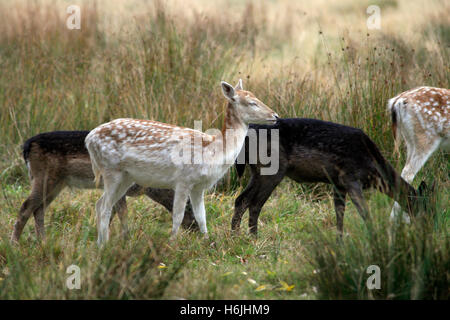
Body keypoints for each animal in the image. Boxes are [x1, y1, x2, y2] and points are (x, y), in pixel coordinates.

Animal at [10, 130, 197, 242]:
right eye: (188, 204)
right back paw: (15, 243)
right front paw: (126, 238)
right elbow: (122, 212)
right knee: (26, 207)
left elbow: (112, 213)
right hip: (43, 177)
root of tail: (26, 147)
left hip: (57, 183)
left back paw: (43, 241)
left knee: (39, 209)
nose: (194, 227)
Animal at [85, 80, 278, 245]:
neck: (212, 151)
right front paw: (172, 243)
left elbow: (202, 216)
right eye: (252, 103)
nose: (275, 115)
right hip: (111, 170)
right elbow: (178, 215)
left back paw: (100, 243)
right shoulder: (183, 180)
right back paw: (104, 245)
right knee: (105, 207)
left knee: (100, 204)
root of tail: (89, 139)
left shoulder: (199, 186)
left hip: (127, 177)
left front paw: (208, 242)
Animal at [234, 117, 430, 235]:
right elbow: (365, 213)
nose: (429, 227)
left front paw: (340, 242)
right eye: (425, 206)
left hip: (256, 171)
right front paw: (374, 238)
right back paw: (253, 238)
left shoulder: (338, 183)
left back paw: (235, 236)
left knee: (241, 200)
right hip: (272, 170)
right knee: (255, 204)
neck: (373, 169)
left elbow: (339, 214)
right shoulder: (350, 178)